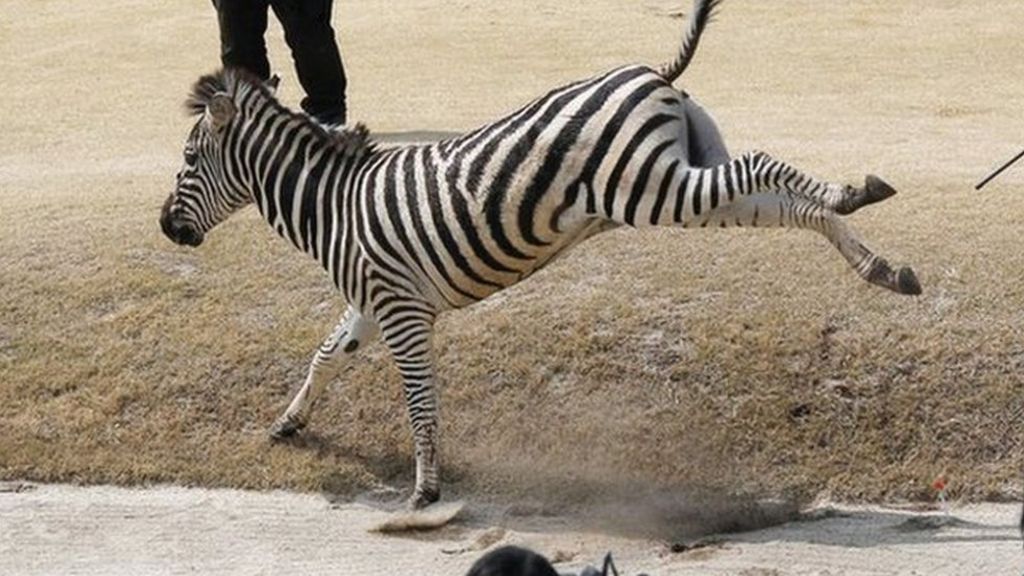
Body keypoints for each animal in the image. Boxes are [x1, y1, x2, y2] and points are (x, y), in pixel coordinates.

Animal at [157, 0, 921, 506]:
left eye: (190, 159)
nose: (166, 226)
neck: (334, 204)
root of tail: (649, 71)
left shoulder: (403, 314)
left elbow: (420, 399)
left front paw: (426, 488)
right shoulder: (373, 304)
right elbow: (323, 355)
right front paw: (289, 422)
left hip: (653, 186)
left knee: (766, 167)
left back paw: (858, 192)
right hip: (686, 185)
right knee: (789, 202)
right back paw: (879, 259)